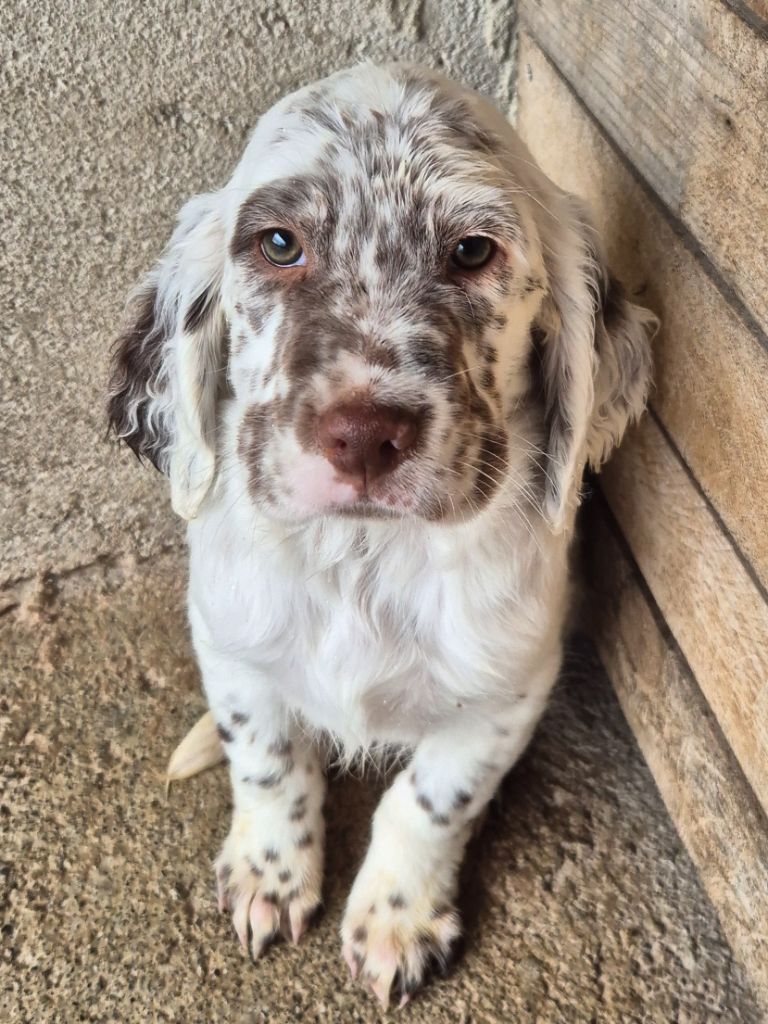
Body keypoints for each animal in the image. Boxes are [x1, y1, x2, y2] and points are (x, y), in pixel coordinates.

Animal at [107, 61, 655, 1007]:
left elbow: (431, 797)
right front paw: (269, 875)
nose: (363, 435)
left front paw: (396, 919)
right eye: (279, 244)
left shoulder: (507, 689)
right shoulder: (232, 644)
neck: (362, 559)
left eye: (472, 251)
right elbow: (268, 758)